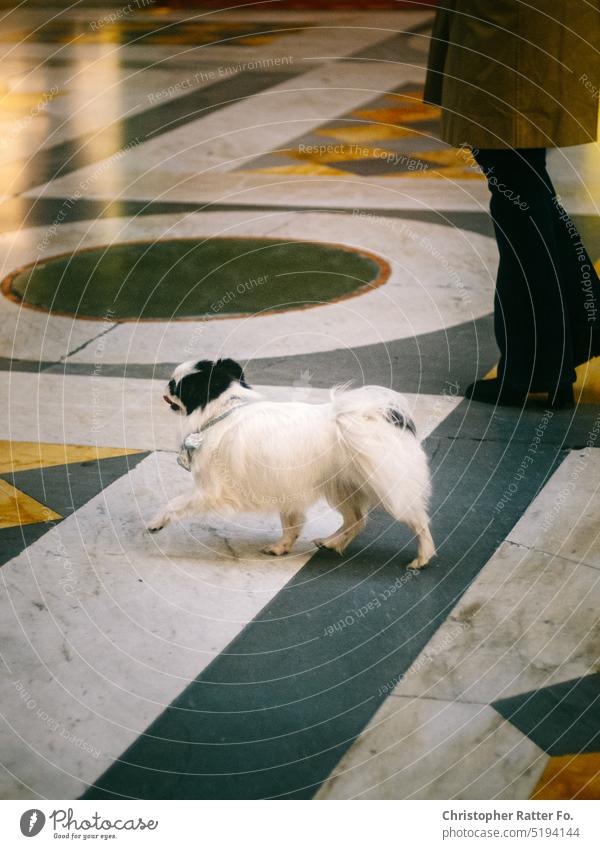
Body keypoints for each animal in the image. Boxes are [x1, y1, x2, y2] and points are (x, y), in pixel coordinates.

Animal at [148, 358, 434, 568]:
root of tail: (372, 416)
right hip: (343, 488)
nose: (166, 386)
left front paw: (156, 523)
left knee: (419, 522)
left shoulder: (210, 489)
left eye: (178, 386)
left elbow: (174, 503)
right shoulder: (284, 488)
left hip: (389, 489)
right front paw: (281, 547)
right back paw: (332, 543)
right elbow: (291, 524)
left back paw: (422, 558)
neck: (223, 411)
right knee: (356, 520)